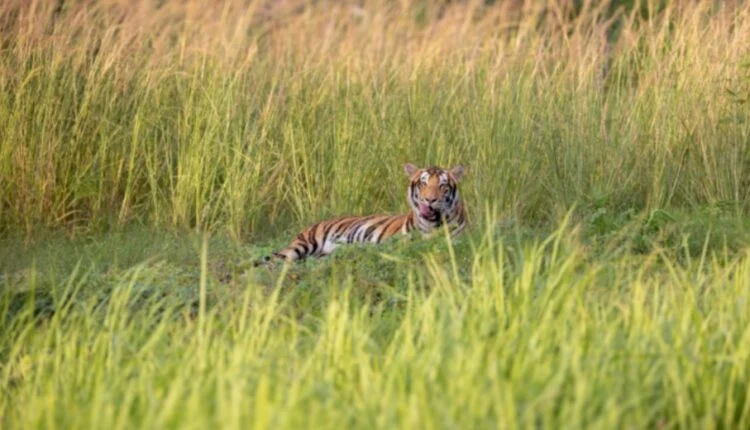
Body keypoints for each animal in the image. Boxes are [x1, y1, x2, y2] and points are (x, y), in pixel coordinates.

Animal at [255, 163, 467, 266]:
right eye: (423, 183)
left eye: (443, 186)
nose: (429, 200)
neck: (432, 225)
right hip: (302, 245)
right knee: (273, 261)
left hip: (320, 255)